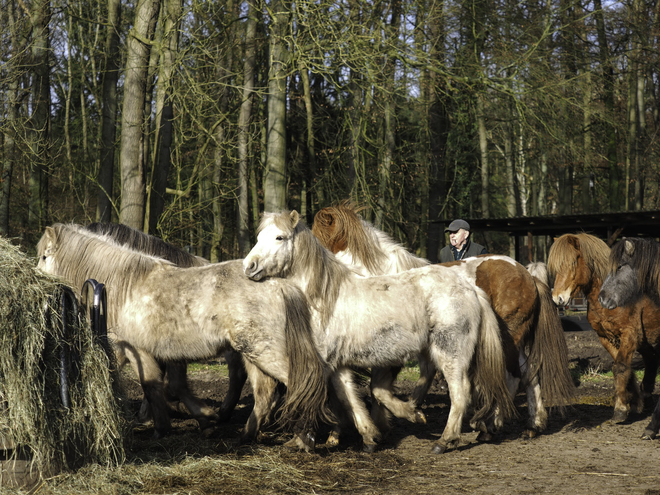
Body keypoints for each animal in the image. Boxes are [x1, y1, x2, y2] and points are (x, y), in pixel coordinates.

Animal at [37, 223, 330, 452]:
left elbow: (152, 386)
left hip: (265, 353)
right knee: (265, 392)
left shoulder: (137, 350)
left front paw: (163, 428)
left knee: (307, 382)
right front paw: (202, 419)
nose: (38, 282)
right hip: (252, 354)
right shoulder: (159, 353)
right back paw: (246, 435)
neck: (127, 285)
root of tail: (279, 284)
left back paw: (305, 438)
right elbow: (165, 386)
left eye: (43, 257)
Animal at [244, 211, 516, 456]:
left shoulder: (328, 364)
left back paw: (445, 440)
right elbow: (351, 398)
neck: (324, 298)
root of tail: (470, 288)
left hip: (450, 352)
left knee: (460, 392)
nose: (249, 266)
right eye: (258, 237)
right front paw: (371, 437)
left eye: (279, 237)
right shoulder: (337, 365)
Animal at [312, 202, 576, 438]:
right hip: (514, 340)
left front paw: (395, 418)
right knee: (528, 374)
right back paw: (533, 424)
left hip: (508, 338)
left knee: (512, 378)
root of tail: (528, 275)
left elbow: (378, 389)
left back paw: (488, 424)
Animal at [548, 234, 660, 428]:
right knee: (651, 360)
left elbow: (620, 367)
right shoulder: (605, 337)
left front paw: (620, 410)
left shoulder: (629, 335)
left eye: (573, 262)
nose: (558, 298)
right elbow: (624, 368)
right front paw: (634, 403)